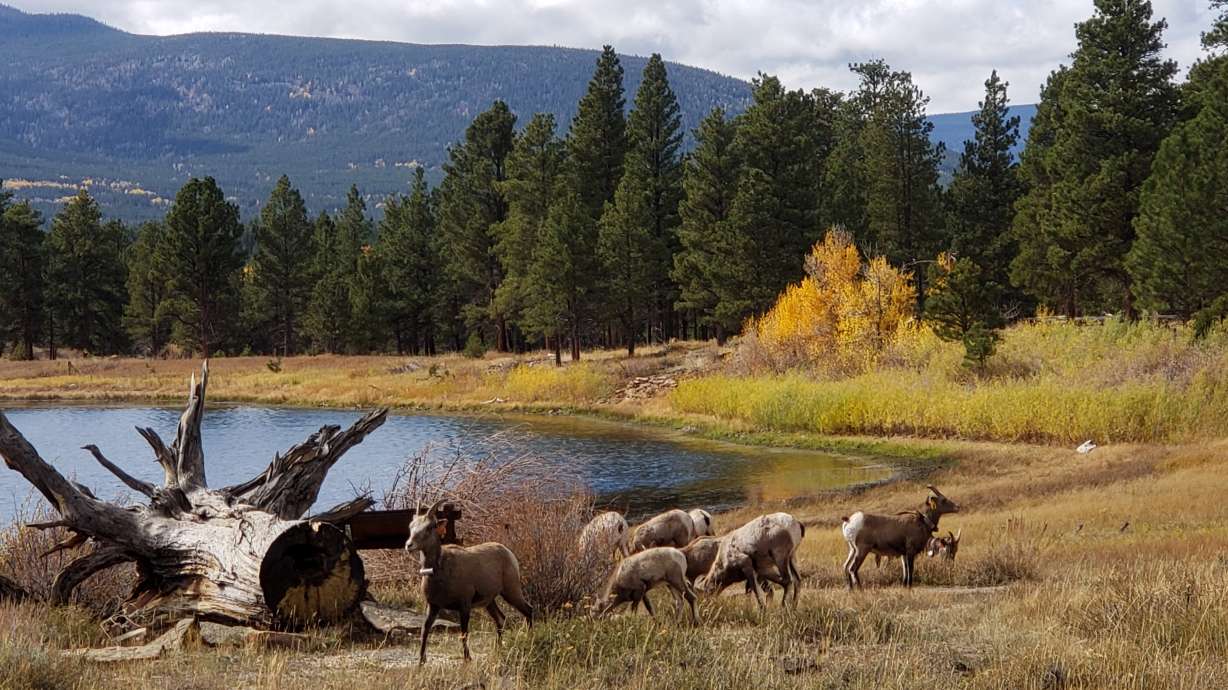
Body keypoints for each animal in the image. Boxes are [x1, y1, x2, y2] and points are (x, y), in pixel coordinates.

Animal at [403, 499, 534, 665]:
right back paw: (497, 651)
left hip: (511, 591)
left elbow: (464, 632)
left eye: (430, 527)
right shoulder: (433, 606)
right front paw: (421, 661)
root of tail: (508, 553)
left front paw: (467, 659)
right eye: (411, 526)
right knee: (501, 619)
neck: (439, 570)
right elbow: (424, 630)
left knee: (528, 610)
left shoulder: (464, 605)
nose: (409, 545)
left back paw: (529, 641)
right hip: (489, 601)